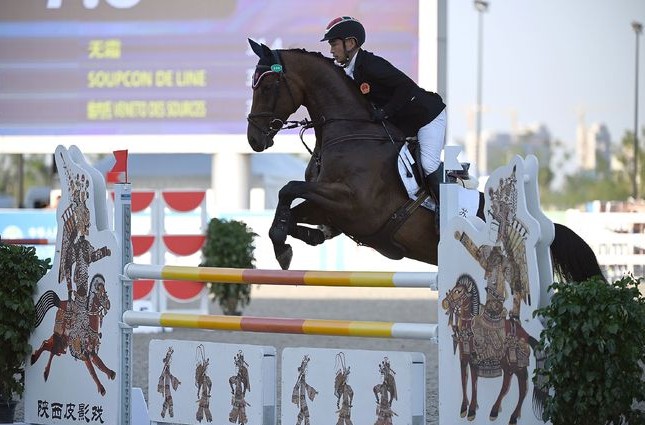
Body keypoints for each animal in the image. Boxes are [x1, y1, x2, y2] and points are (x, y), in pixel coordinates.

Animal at [247, 39, 604, 284]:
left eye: (268, 85)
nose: (254, 139)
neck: (348, 133)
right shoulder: (330, 208)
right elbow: (293, 207)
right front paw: (293, 239)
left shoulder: (354, 205)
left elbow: (289, 189)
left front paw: (282, 247)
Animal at [440, 274, 544, 422]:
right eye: (453, 289)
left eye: (459, 291)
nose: (445, 303)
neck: (468, 329)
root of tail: (525, 334)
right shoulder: (463, 359)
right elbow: (464, 381)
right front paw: (464, 408)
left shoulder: (474, 361)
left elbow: (474, 383)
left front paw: (472, 410)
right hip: (511, 365)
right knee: (512, 385)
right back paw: (504, 413)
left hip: (515, 366)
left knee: (518, 388)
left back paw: (505, 414)